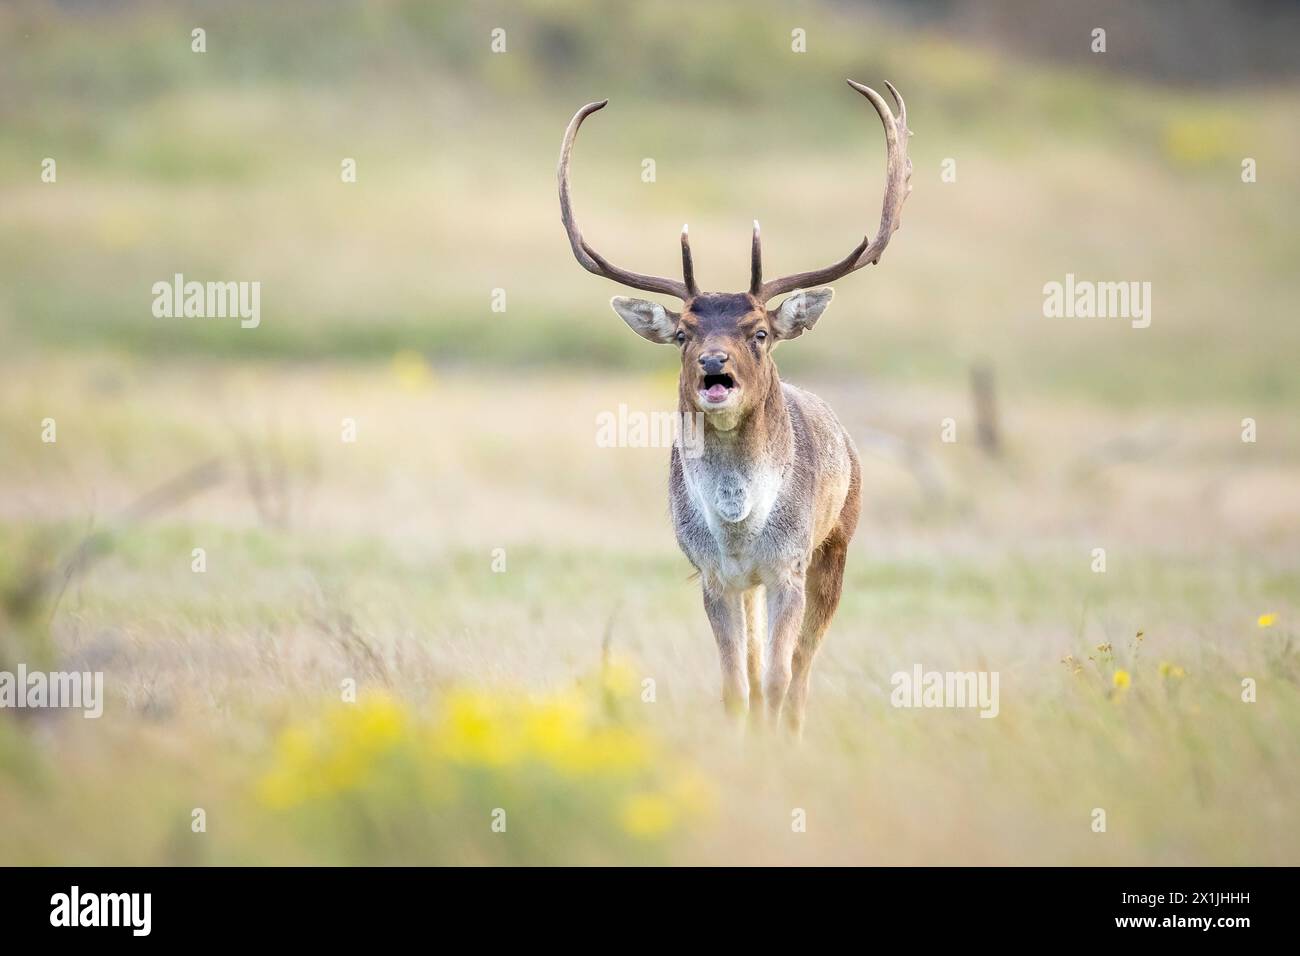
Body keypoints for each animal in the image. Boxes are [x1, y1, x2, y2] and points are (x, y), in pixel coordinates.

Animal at [558, 80, 912, 734]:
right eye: (682, 334)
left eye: (760, 332)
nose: (713, 366)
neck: (740, 526)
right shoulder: (712, 574)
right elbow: (735, 685)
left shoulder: (788, 566)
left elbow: (776, 678)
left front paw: (774, 745)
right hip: (750, 586)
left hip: (837, 543)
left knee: (801, 670)